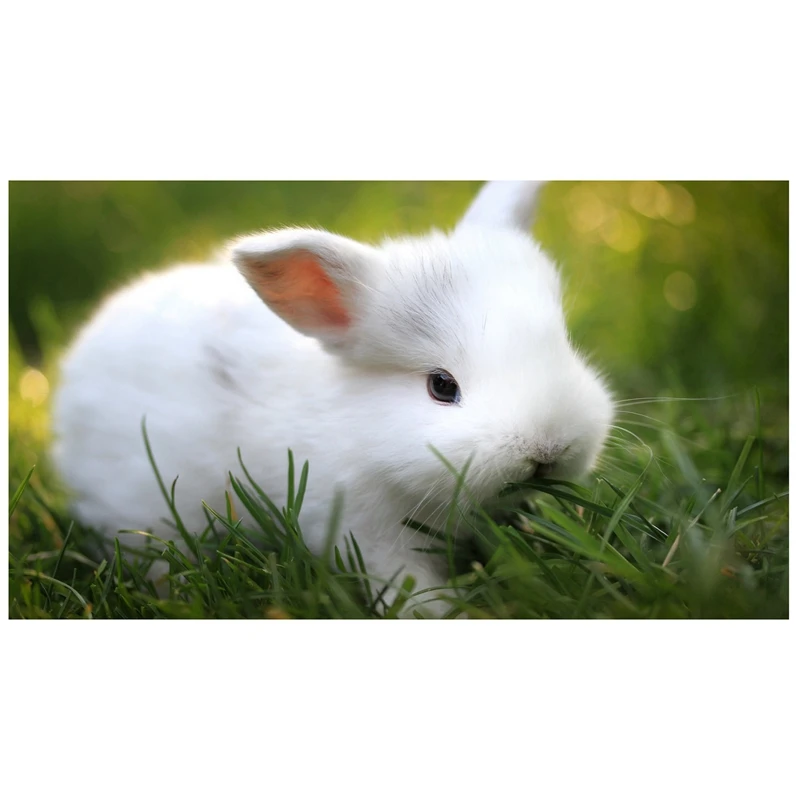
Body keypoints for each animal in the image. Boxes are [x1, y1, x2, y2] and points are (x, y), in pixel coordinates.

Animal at [51, 181, 614, 617]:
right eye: (441, 386)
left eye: (563, 344)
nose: (548, 449)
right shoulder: (361, 529)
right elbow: (405, 581)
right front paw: (440, 612)